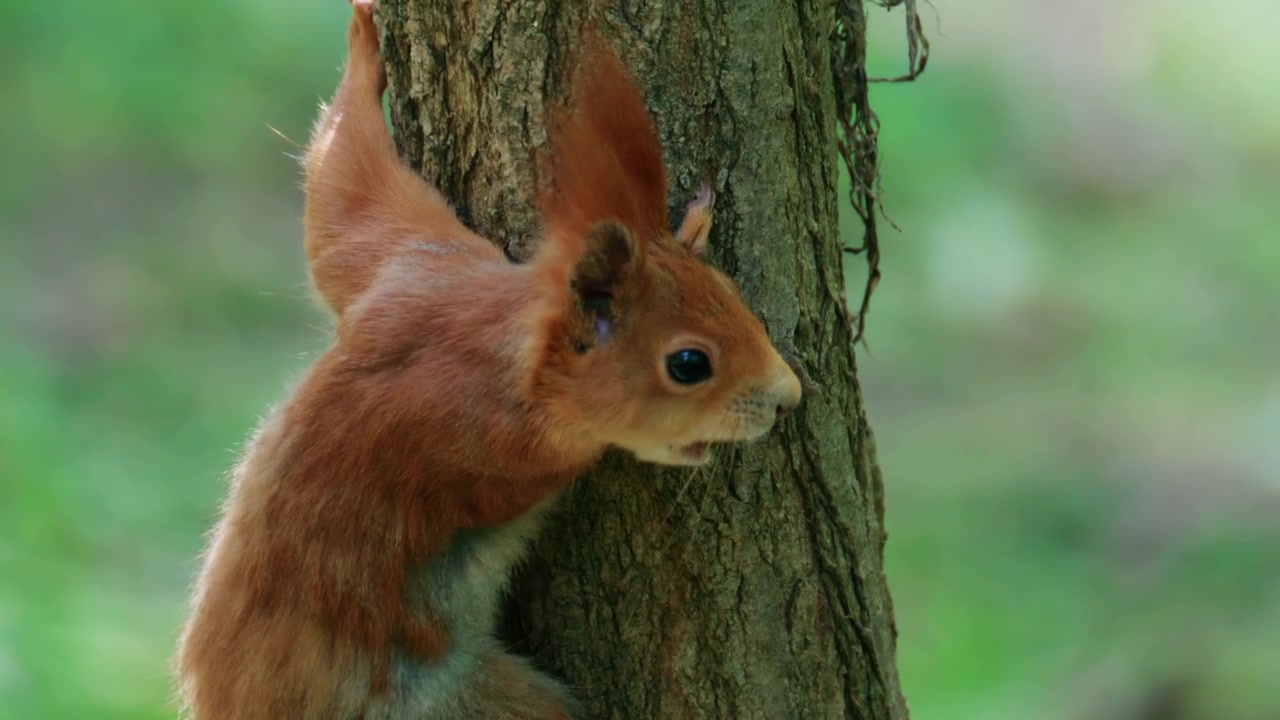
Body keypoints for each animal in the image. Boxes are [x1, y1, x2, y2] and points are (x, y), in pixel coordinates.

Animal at [175, 1, 802, 718]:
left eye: (730, 293)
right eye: (690, 365)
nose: (788, 398)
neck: (491, 344)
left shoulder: (418, 272)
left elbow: (347, 205)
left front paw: (363, 52)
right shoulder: (499, 444)